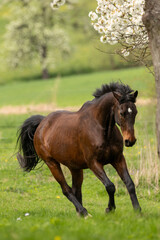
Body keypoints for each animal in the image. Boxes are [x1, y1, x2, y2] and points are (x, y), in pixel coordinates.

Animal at [16, 81, 141, 217]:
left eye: (135, 112)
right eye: (122, 113)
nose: (130, 141)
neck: (100, 128)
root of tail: (42, 123)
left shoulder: (117, 159)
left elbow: (129, 183)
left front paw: (137, 210)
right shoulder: (94, 163)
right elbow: (110, 186)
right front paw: (110, 209)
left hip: (75, 167)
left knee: (76, 189)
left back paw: (80, 213)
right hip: (52, 163)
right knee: (66, 189)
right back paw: (84, 212)